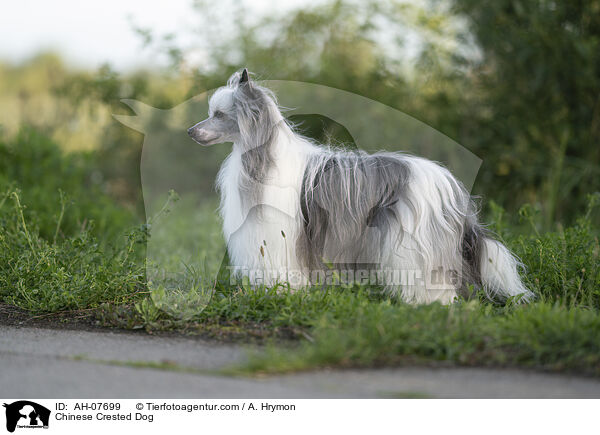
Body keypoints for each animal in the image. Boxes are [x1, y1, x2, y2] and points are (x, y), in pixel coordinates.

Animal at [189, 70, 536, 304]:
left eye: (219, 115)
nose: (191, 131)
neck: (262, 157)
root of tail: (450, 188)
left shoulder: (278, 238)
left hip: (413, 242)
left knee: (436, 281)